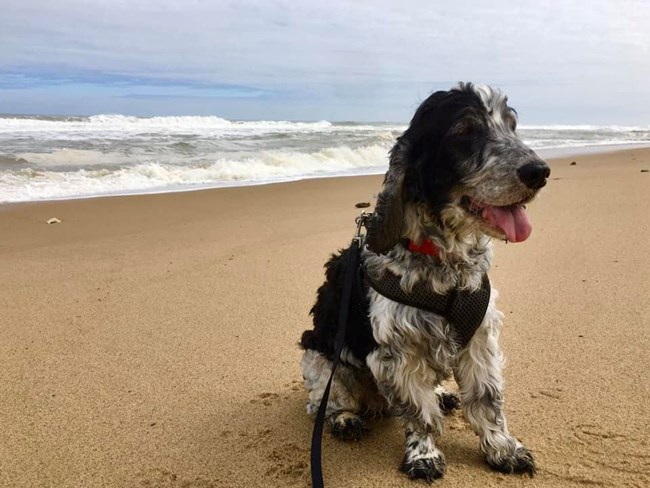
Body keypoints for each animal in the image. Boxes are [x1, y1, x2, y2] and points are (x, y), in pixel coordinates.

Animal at [298, 83, 548, 480]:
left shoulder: (479, 339)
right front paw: (423, 455)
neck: (445, 261)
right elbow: (419, 412)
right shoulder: (398, 353)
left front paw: (504, 449)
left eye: (511, 126)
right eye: (464, 132)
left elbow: (488, 400)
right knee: (326, 400)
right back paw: (346, 419)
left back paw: (443, 394)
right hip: (320, 356)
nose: (539, 171)